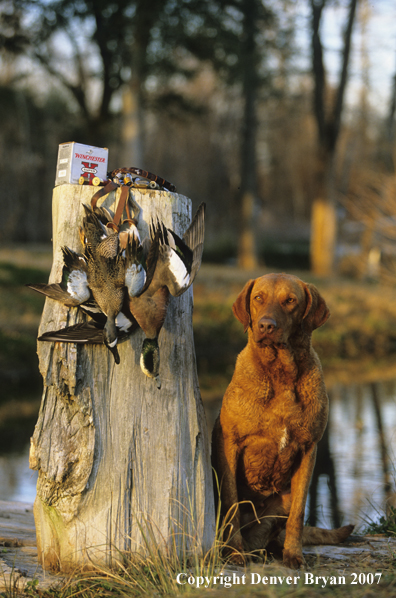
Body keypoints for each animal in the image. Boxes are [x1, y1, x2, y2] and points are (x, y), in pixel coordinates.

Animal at [212, 274, 354, 568]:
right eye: (258, 298)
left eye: (290, 301)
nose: (266, 325)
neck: (280, 372)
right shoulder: (229, 443)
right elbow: (230, 503)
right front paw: (234, 553)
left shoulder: (308, 448)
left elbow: (299, 514)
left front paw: (294, 555)